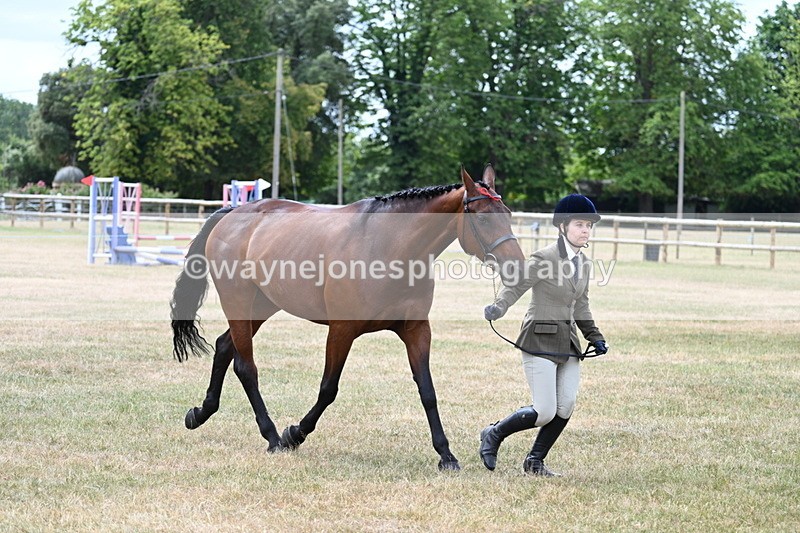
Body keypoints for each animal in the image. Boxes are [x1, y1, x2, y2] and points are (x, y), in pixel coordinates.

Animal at [170, 165, 525, 470]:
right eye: (482, 218)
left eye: (507, 215)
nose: (517, 267)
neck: (389, 248)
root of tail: (232, 214)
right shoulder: (341, 331)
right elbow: (328, 389)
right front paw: (294, 434)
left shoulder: (416, 330)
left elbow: (427, 391)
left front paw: (446, 455)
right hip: (239, 301)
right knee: (246, 366)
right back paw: (272, 436)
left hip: (263, 305)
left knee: (224, 347)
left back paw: (200, 413)